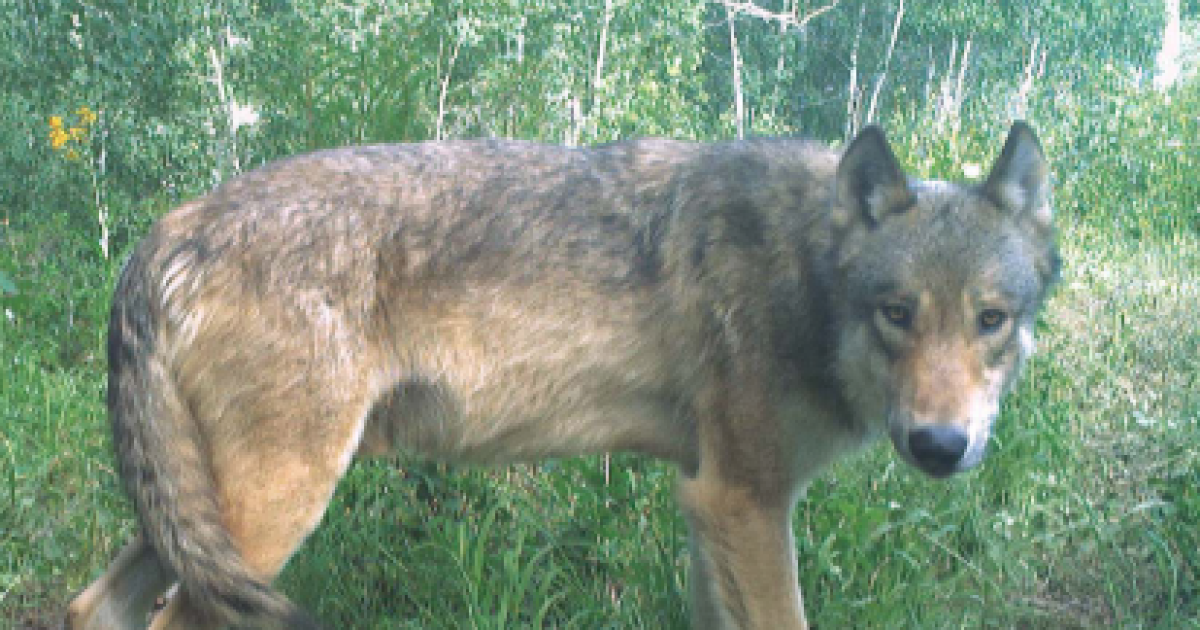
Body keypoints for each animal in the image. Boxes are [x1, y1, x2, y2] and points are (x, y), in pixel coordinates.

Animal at [67, 122, 1057, 629]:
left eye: (991, 321)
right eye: (897, 314)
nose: (941, 444)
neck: (801, 272)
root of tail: (166, 230)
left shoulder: (708, 503)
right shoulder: (744, 500)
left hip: (199, 522)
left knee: (91, 607)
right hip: (268, 520)